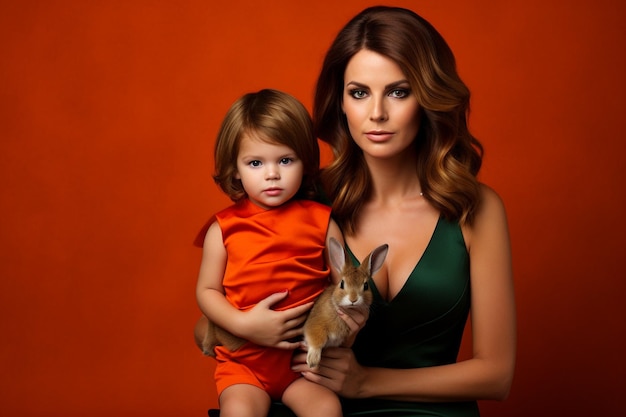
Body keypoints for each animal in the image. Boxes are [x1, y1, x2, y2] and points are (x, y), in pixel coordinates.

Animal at [302, 237, 386, 368]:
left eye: (366, 286)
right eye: (342, 283)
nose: (353, 299)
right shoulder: (315, 326)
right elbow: (316, 341)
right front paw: (312, 361)